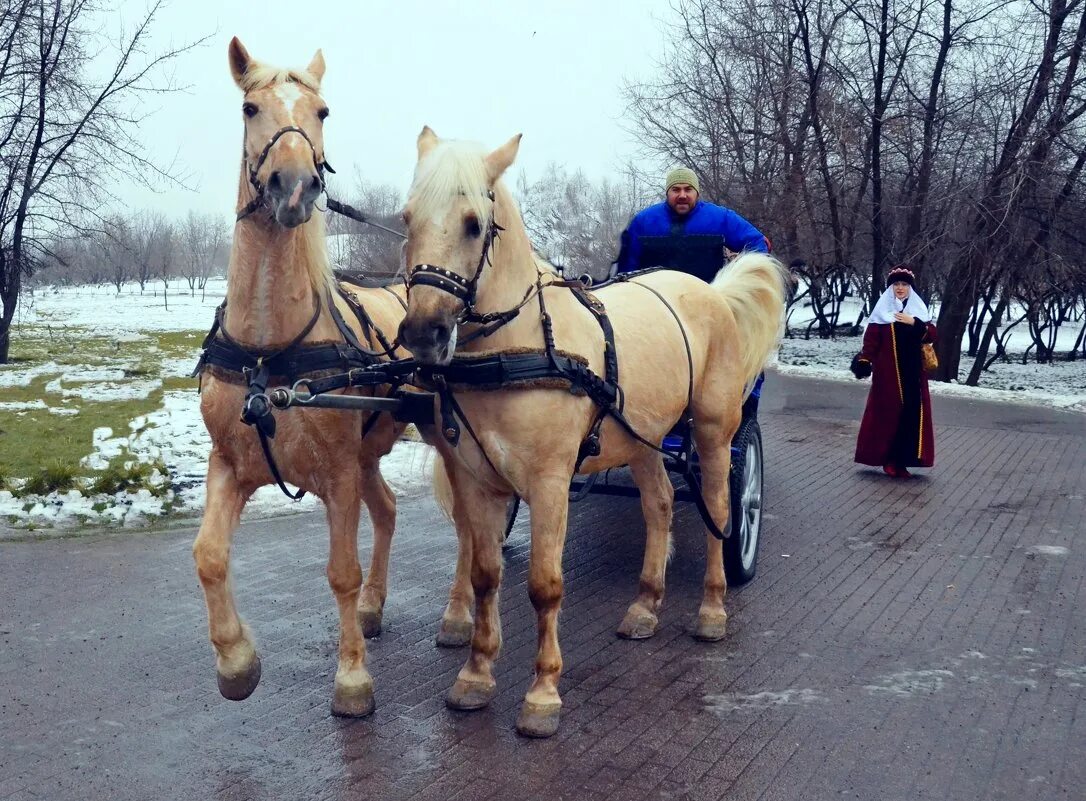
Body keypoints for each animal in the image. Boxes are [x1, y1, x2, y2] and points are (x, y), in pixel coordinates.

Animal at [190, 39, 466, 716]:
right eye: (249, 107)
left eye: (322, 111)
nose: (295, 186)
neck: (268, 353)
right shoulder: (230, 463)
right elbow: (208, 556)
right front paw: (236, 662)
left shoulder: (338, 475)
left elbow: (341, 570)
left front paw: (352, 679)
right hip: (368, 453)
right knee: (388, 510)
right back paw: (373, 607)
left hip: (444, 442)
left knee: (470, 530)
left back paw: (458, 615)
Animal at [399, 126, 790, 738]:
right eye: (407, 218)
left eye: (473, 223)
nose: (422, 333)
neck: (518, 346)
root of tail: (710, 292)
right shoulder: (477, 479)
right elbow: (485, 574)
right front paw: (476, 675)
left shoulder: (549, 481)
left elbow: (544, 585)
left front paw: (542, 693)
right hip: (644, 438)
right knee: (658, 504)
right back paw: (645, 605)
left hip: (714, 430)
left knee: (720, 511)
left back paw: (712, 609)